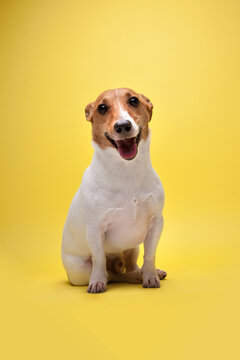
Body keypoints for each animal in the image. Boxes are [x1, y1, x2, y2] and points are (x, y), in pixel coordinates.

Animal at [62, 88, 166, 292]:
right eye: (102, 108)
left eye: (134, 100)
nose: (123, 126)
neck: (126, 171)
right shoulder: (95, 229)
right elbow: (99, 259)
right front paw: (97, 282)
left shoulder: (156, 222)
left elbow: (150, 255)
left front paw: (150, 276)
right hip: (80, 270)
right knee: (114, 275)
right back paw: (126, 277)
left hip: (132, 247)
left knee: (131, 265)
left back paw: (143, 273)